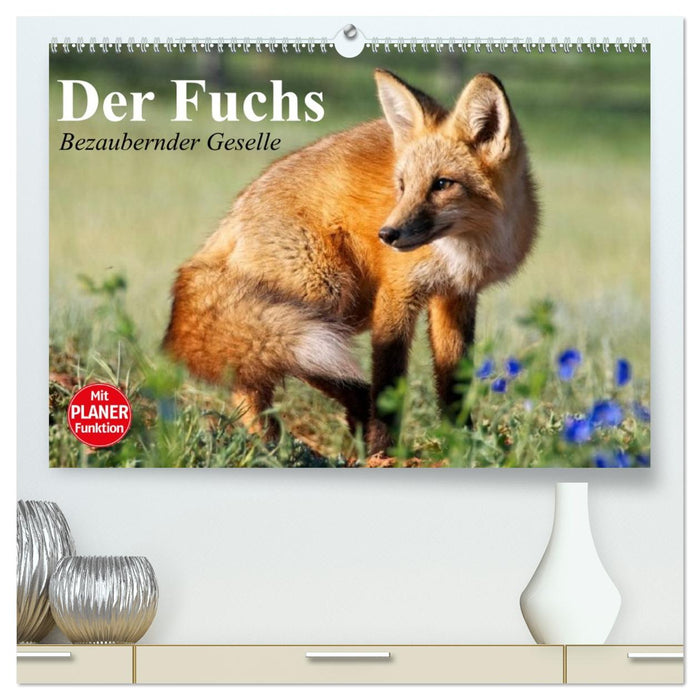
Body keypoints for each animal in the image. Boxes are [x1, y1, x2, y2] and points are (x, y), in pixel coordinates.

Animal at [164, 69, 538, 456]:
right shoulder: (396, 294)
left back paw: (278, 443)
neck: (465, 250)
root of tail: (231, 218)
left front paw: (463, 444)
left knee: (252, 371)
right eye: (402, 185)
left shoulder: (455, 296)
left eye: (442, 184)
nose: (387, 235)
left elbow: (454, 383)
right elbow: (389, 380)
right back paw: (286, 443)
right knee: (265, 367)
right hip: (328, 297)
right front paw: (384, 452)